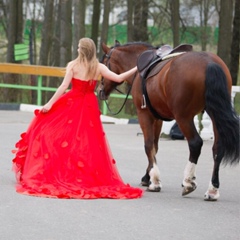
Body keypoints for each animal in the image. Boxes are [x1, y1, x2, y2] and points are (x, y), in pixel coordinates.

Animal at [98, 41, 239, 201]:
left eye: (103, 63)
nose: (100, 91)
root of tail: (209, 62)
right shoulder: (158, 118)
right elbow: (155, 146)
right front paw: (148, 177)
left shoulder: (144, 115)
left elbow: (148, 145)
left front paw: (154, 181)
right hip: (215, 114)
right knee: (218, 148)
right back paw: (212, 190)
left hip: (183, 117)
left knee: (195, 143)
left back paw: (188, 182)